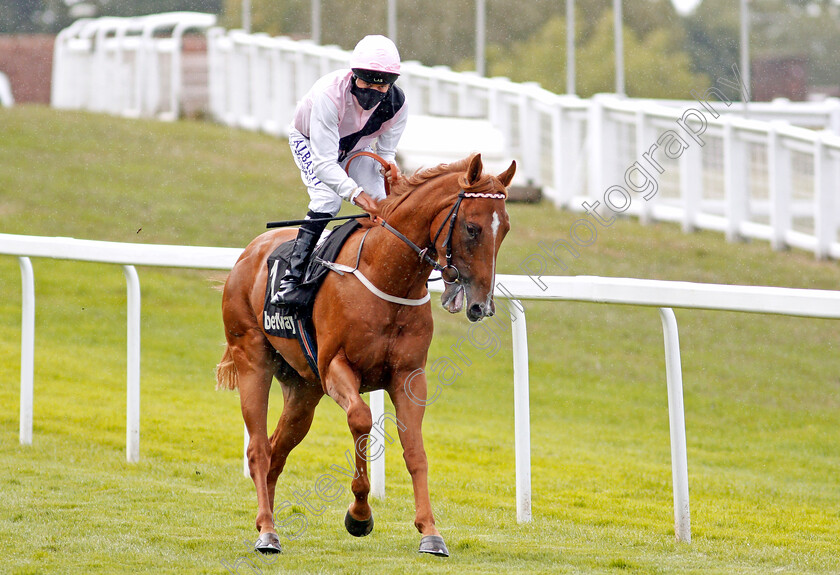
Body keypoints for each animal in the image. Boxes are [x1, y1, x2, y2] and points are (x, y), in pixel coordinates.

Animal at [215, 153, 512, 560]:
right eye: (472, 228)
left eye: (505, 229)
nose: (483, 306)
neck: (389, 276)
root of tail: (248, 253)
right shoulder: (335, 368)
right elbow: (360, 419)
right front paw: (359, 515)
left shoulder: (409, 376)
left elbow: (415, 451)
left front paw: (430, 532)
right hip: (252, 359)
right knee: (259, 448)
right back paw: (267, 533)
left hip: (303, 390)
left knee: (277, 449)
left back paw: (266, 523)